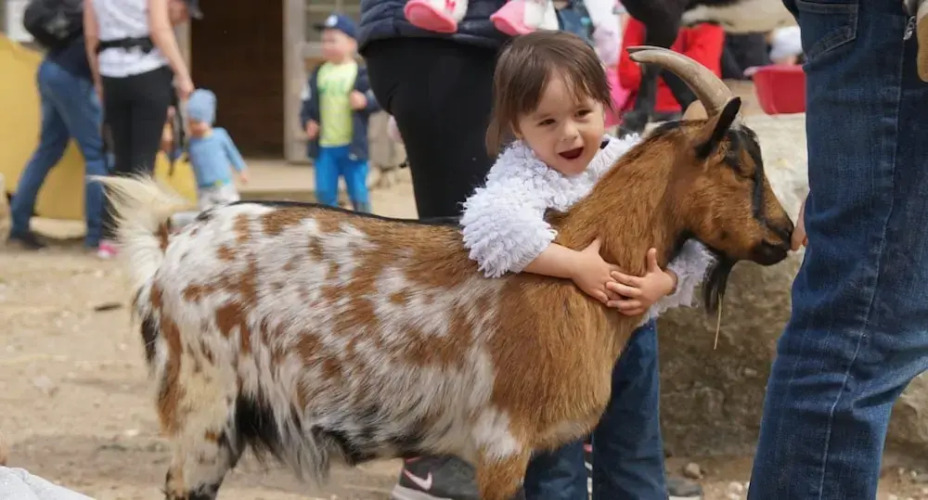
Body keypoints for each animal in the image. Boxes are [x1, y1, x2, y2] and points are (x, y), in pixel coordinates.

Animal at [97, 47, 794, 500]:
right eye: (739, 164)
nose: (787, 235)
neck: (575, 264)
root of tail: (172, 243)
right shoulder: (502, 443)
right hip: (203, 406)